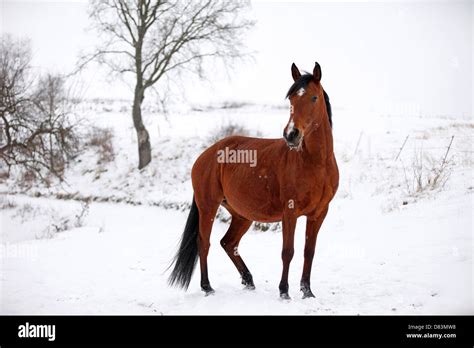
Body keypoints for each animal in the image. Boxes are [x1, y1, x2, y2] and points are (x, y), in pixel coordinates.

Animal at [168, 61, 338, 300]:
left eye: (314, 98)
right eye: (291, 99)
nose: (291, 134)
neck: (316, 163)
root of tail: (205, 155)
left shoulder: (319, 213)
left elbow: (309, 252)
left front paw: (307, 292)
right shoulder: (290, 212)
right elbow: (288, 252)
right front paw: (284, 292)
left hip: (242, 215)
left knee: (228, 243)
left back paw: (248, 280)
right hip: (208, 206)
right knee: (204, 243)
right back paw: (207, 286)